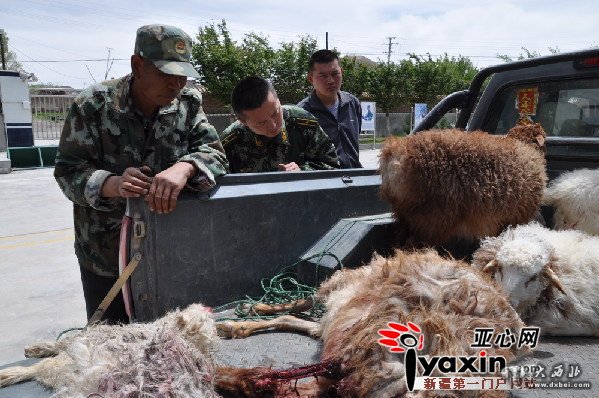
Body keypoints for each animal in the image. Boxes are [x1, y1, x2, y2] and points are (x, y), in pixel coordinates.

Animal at [380, 123, 548, 247]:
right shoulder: (517, 216)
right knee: (413, 245)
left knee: (400, 242)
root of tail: (396, 153)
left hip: (405, 215)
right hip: (431, 216)